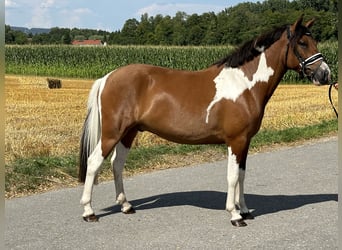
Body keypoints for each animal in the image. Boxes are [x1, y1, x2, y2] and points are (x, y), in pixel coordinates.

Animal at [78, 16, 332, 227]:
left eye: (315, 41)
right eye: (302, 43)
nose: (325, 74)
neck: (244, 85)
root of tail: (107, 77)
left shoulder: (245, 142)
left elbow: (242, 175)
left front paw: (245, 209)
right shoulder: (236, 141)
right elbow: (232, 176)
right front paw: (235, 215)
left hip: (128, 133)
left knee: (117, 164)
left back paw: (126, 206)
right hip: (112, 133)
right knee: (94, 162)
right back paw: (89, 212)